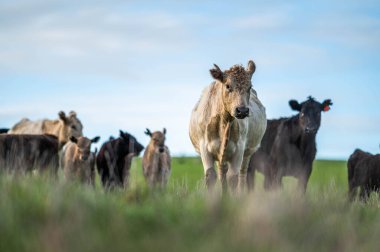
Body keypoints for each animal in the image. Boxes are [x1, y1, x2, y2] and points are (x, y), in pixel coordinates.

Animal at [190, 59, 268, 193]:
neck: (223, 123)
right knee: (222, 174)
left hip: (247, 153)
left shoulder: (239, 148)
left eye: (250, 87)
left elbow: (233, 178)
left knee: (242, 174)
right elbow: (211, 176)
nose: (242, 111)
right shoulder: (204, 148)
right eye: (227, 86)